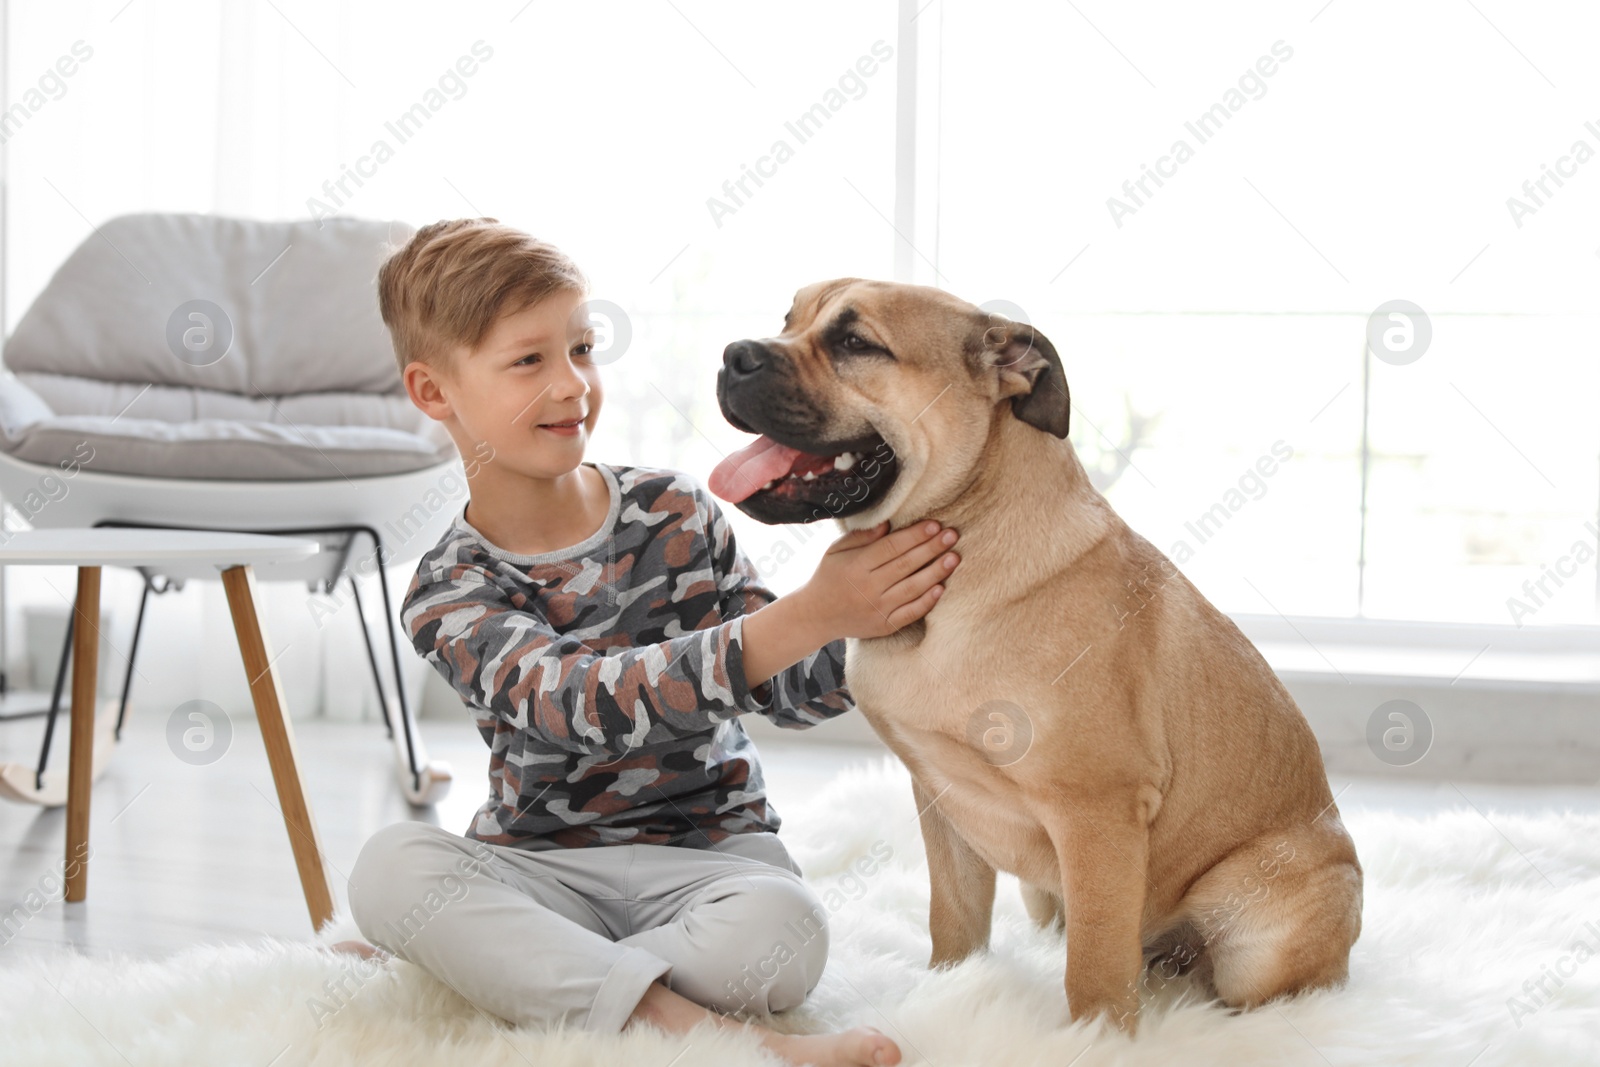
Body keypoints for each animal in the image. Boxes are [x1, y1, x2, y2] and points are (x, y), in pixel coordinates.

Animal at [713, 279, 1363, 1030]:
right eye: (788, 319)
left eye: (855, 342)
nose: (734, 355)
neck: (970, 528)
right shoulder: (942, 800)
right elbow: (954, 921)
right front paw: (948, 992)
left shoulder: (1096, 813)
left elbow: (1095, 971)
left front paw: (1095, 1039)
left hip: (1259, 933)